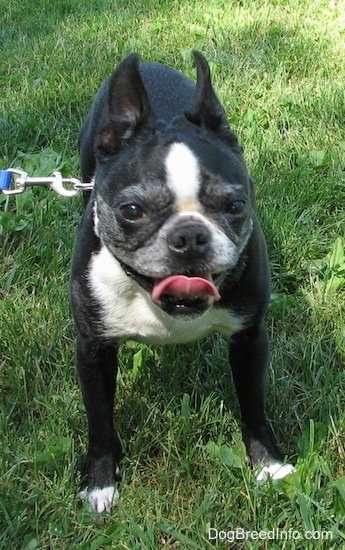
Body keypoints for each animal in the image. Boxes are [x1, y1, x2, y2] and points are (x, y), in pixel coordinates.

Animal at [70, 50, 292, 512]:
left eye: (236, 204)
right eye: (131, 210)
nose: (189, 236)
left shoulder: (250, 338)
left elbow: (253, 405)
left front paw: (268, 464)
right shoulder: (93, 350)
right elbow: (99, 422)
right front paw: (100, 483)